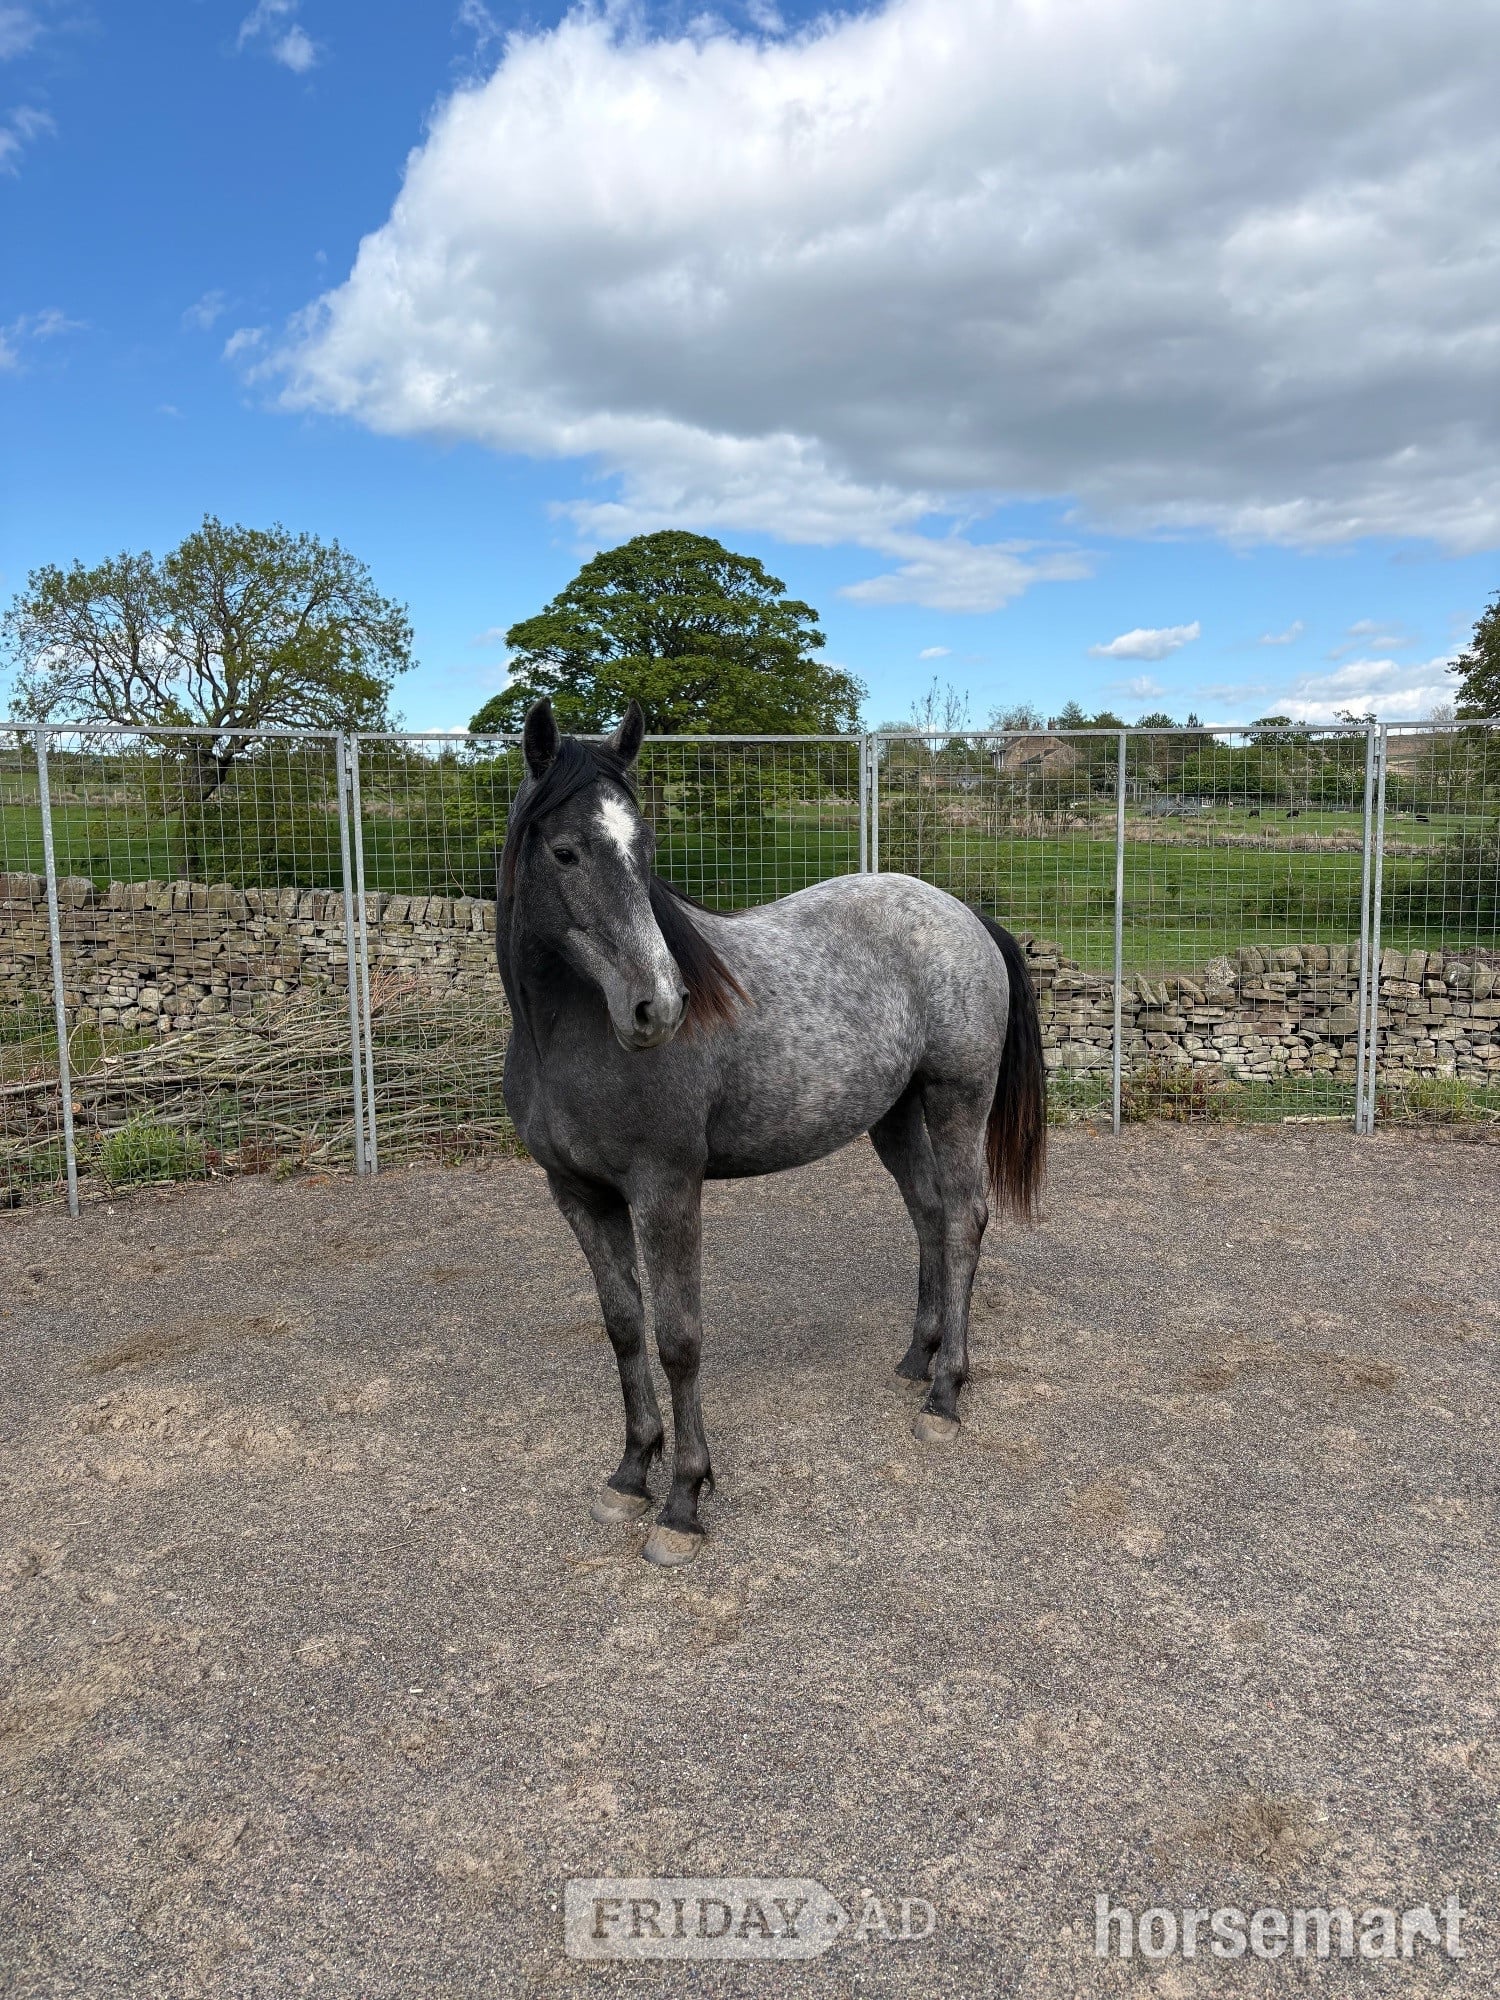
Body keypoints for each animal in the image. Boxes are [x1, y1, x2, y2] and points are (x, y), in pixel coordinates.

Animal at [496, 698, 1047, 1567]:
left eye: (644, 849)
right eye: (565, 850)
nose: (660, 1006)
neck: (569, 1036)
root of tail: (960, 912)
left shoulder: (666, 1191)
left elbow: (679, 1338)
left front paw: (683, 1502)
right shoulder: (579, 1196)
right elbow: (624, 1328)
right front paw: (629, 1474)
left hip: (957, 1099)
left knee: (963, 1219)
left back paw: (945, 1393)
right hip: (893, 1115)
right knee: (928, 1214)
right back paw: (915, 1357)